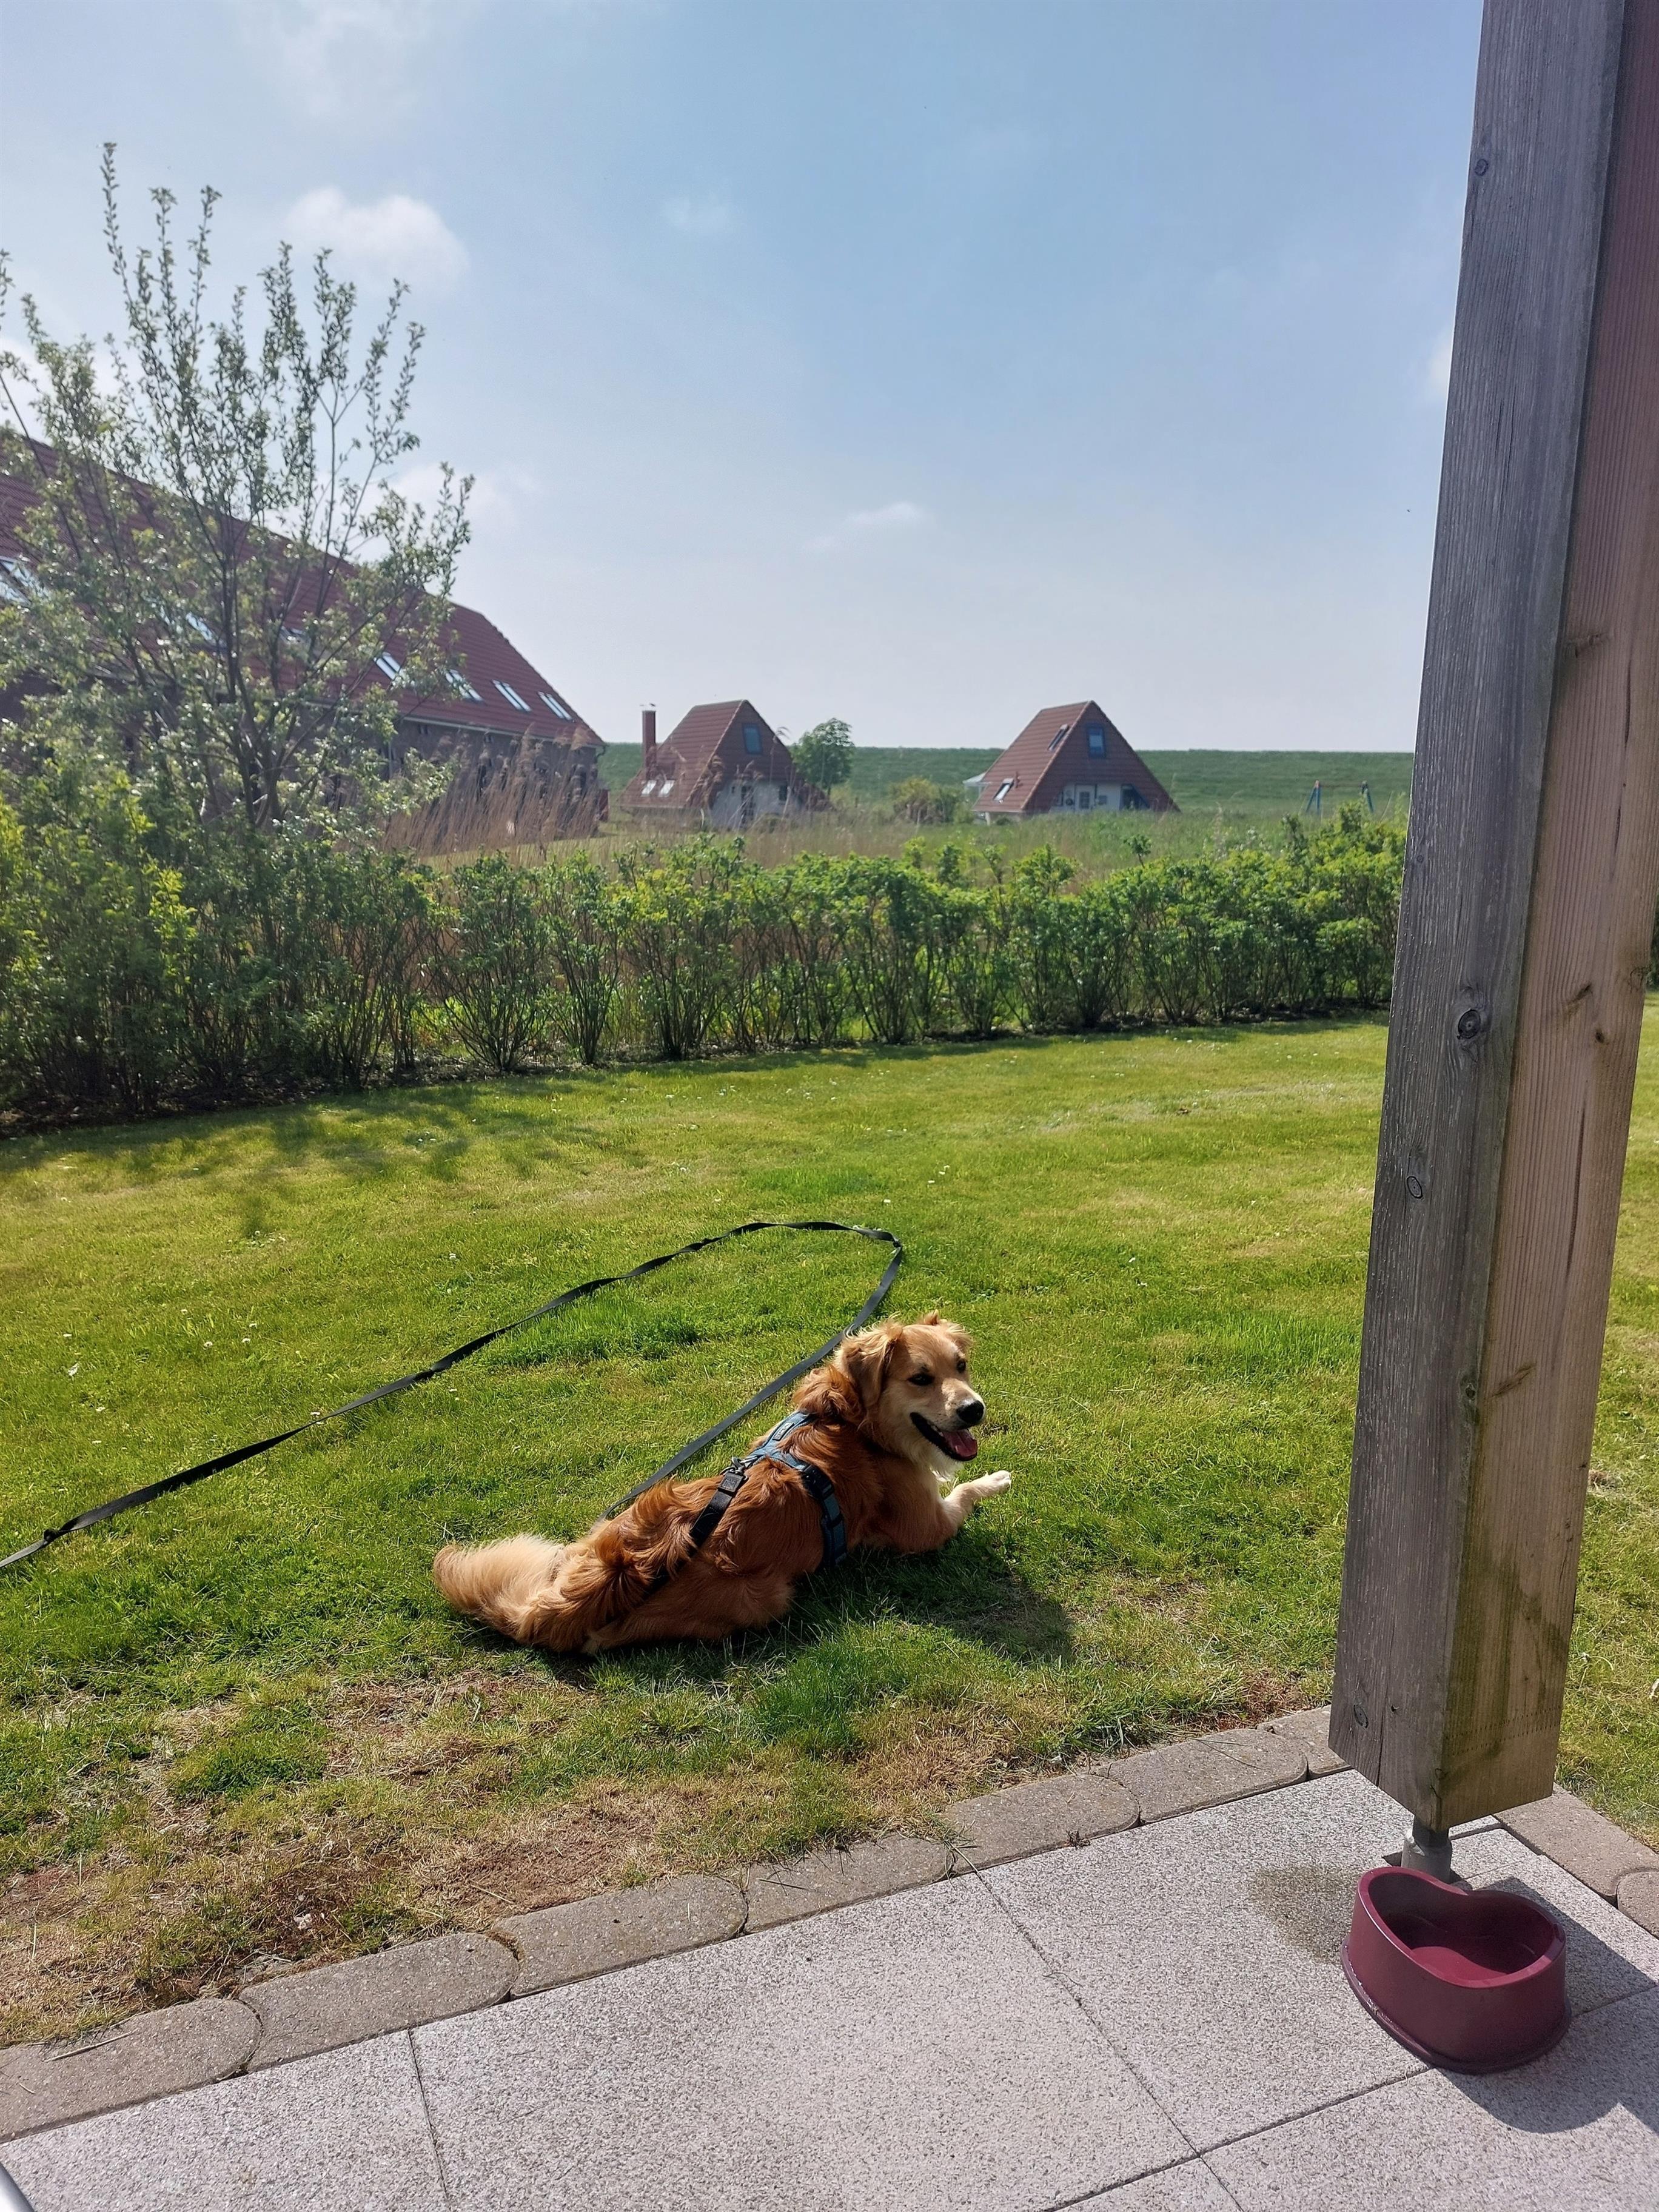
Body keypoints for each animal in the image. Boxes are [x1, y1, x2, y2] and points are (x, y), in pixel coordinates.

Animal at [432, 1313, 1012, 1653]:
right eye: (921, 1378)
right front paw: (997, 1478)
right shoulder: (927, 1529)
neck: (853, 1422)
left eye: (961, 1365)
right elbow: (964, 1492)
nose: (975, 1409)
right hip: (767, 1596)